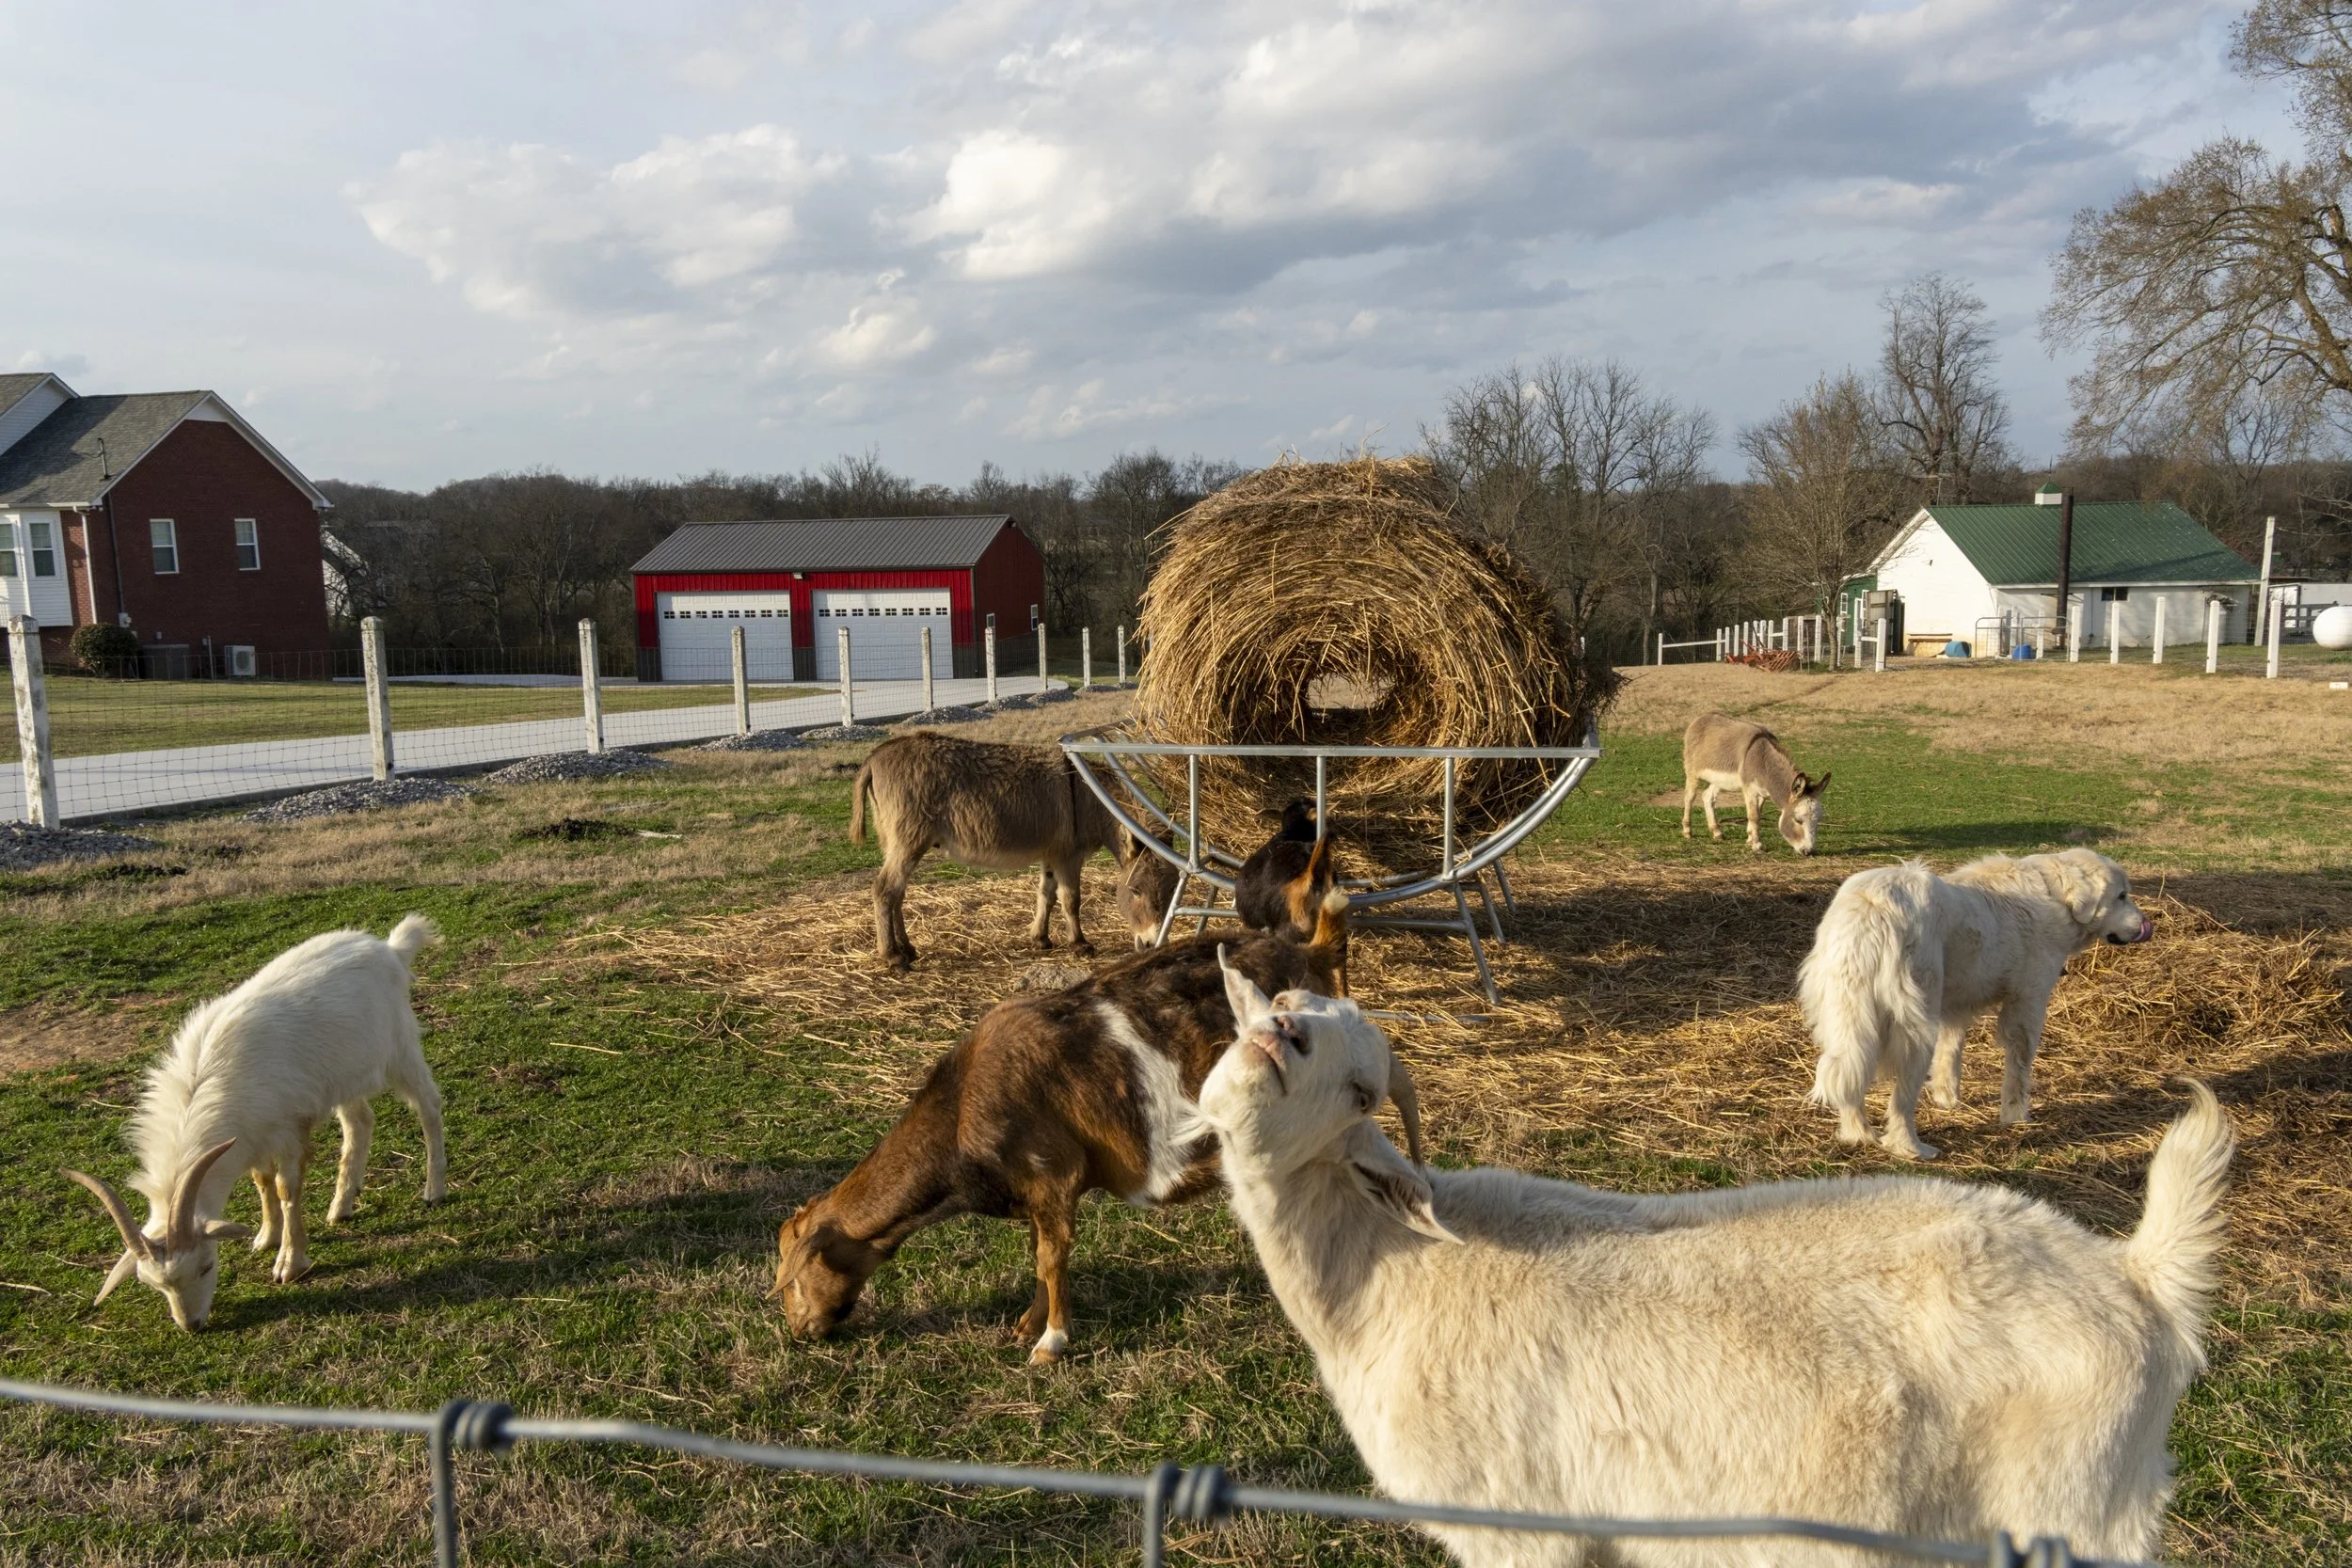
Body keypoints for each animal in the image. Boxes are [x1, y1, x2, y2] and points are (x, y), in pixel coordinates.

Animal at [64, 915, 449, 1330]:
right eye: (155, 1285)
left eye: (206, 1266)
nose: (192, 1325)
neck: (207, 1085)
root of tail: (390, 948)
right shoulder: (251, 1137)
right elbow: (262, 1181)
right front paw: (267, 1236)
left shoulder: (290, 1128)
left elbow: (285, 1188)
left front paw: (290, 1263)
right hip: (344, 1076)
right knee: (360, 1123)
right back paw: (341, 1206)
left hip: (400, 1051)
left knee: (429, 1106)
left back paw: (434, 1190)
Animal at [773, 891, 1359, 1364]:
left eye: (790, 1280)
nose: (799, 1332)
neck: (961, 1110)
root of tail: (1312, 953)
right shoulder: (1035, 1194)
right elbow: (1039, 1254)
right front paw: (1025, 1325)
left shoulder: (1054, 1175)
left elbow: (1051, 1259)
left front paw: (1050, 1343)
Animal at [850, 730, 1126, 969]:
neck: (1094, 798)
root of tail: (875, 756)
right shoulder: (1069, 857)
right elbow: (1071, 900)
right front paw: (1079, 944)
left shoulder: (1051, 855)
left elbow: (1046, 895)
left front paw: (1040, 938)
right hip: (908, 841)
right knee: (884, 889)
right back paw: (892, 956)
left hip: (896, 843)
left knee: (897, 892)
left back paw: (907, 949)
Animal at [1192, 956, 2233, 1566]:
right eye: (1273, 1008)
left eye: (1361, 1087)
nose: (1278, 1036)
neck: (1386, 1277)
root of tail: (2137, 1279)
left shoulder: (1521, 1529)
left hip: (2070, 1509)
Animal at [1682, 711, 1828, 854]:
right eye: (1798, 820)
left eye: (1818, 821)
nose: (1808, 851)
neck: (1763, 761)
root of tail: (1702, 717)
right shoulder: (1750, 789)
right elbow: (1754, 815)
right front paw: (1757, 845)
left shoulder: (1763, 792)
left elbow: (1758, 812)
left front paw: (1750, 838)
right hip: (1692, 771)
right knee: (1689, 797)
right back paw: (1687, 831)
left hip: (1719, 780)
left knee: (1707, 796)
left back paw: (1717, 832)